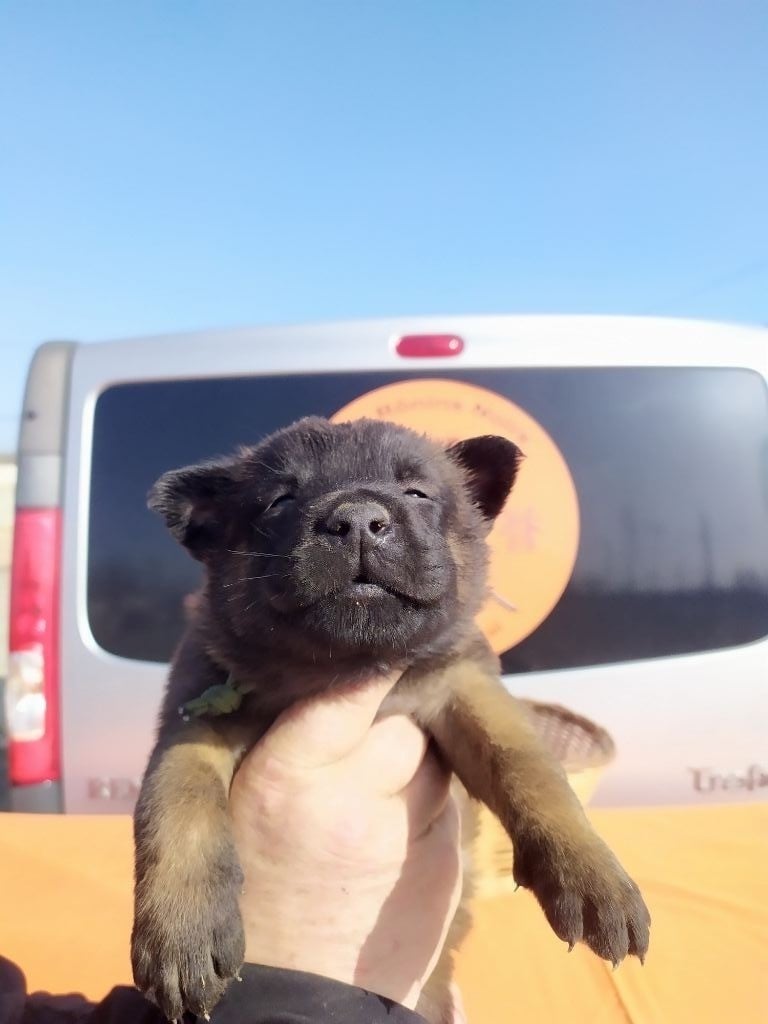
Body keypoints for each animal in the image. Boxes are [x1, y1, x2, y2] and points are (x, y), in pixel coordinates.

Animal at [131, 415, 650, 1022]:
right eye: (281, 500)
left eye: (417, 493)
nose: (356, 519)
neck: (345, 666)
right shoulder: (195, 719)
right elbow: (178, 805)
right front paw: (182, 933)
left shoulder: (463, 686)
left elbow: (528, 766)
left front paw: (594, 877)